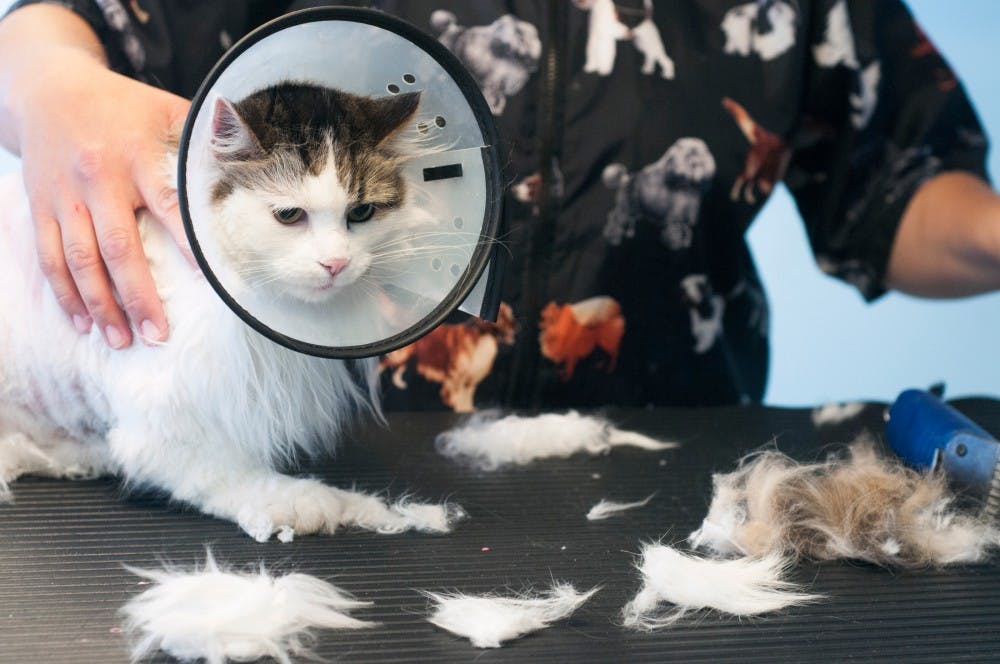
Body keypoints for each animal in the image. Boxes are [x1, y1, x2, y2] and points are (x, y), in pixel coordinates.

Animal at [0, 81, 460, 540]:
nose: (335, 264)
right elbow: (228, 474)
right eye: (289, 215)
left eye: (361, 212)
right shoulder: (161, 425)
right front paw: (306, 501)